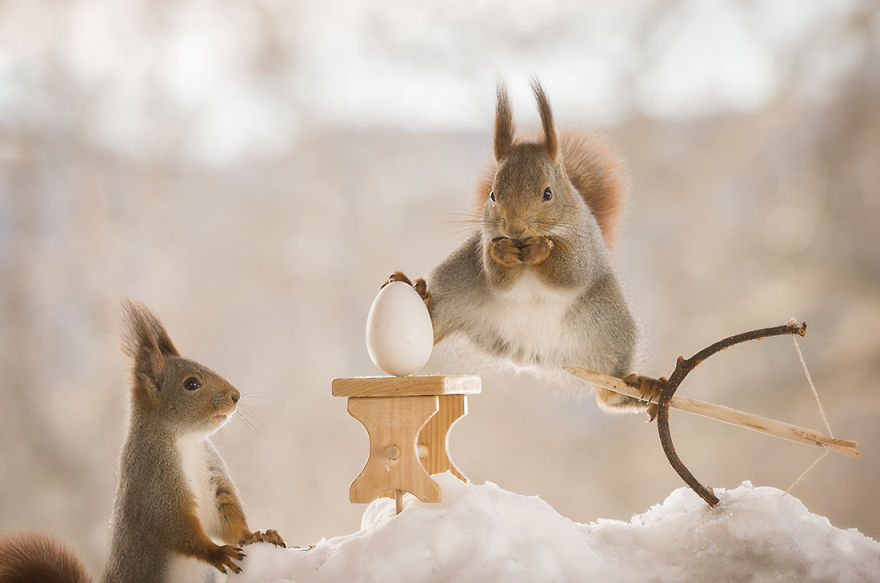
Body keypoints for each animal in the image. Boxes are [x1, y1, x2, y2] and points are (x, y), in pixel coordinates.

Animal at [0, 300, 285, 583]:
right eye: (192, 384)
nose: (236, 396)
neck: (186, 440)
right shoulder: (153, 481)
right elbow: (172, 526)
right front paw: (216, 552)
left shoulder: (214, 474)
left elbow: (228, 519)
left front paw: (257, 535)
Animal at [389, 80, 664, 414]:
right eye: (492, 194)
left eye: (548, 193)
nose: (515, 229)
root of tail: (526, 352)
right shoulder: (486, 239)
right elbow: (498, 278)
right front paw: (503, 254)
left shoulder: (584, 244)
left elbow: (570, 272)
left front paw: (541, 250)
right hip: (459, 291)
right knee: (434, 326)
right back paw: (418, 293)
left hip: (607, 329)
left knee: (607, 392)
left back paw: (643, 388)